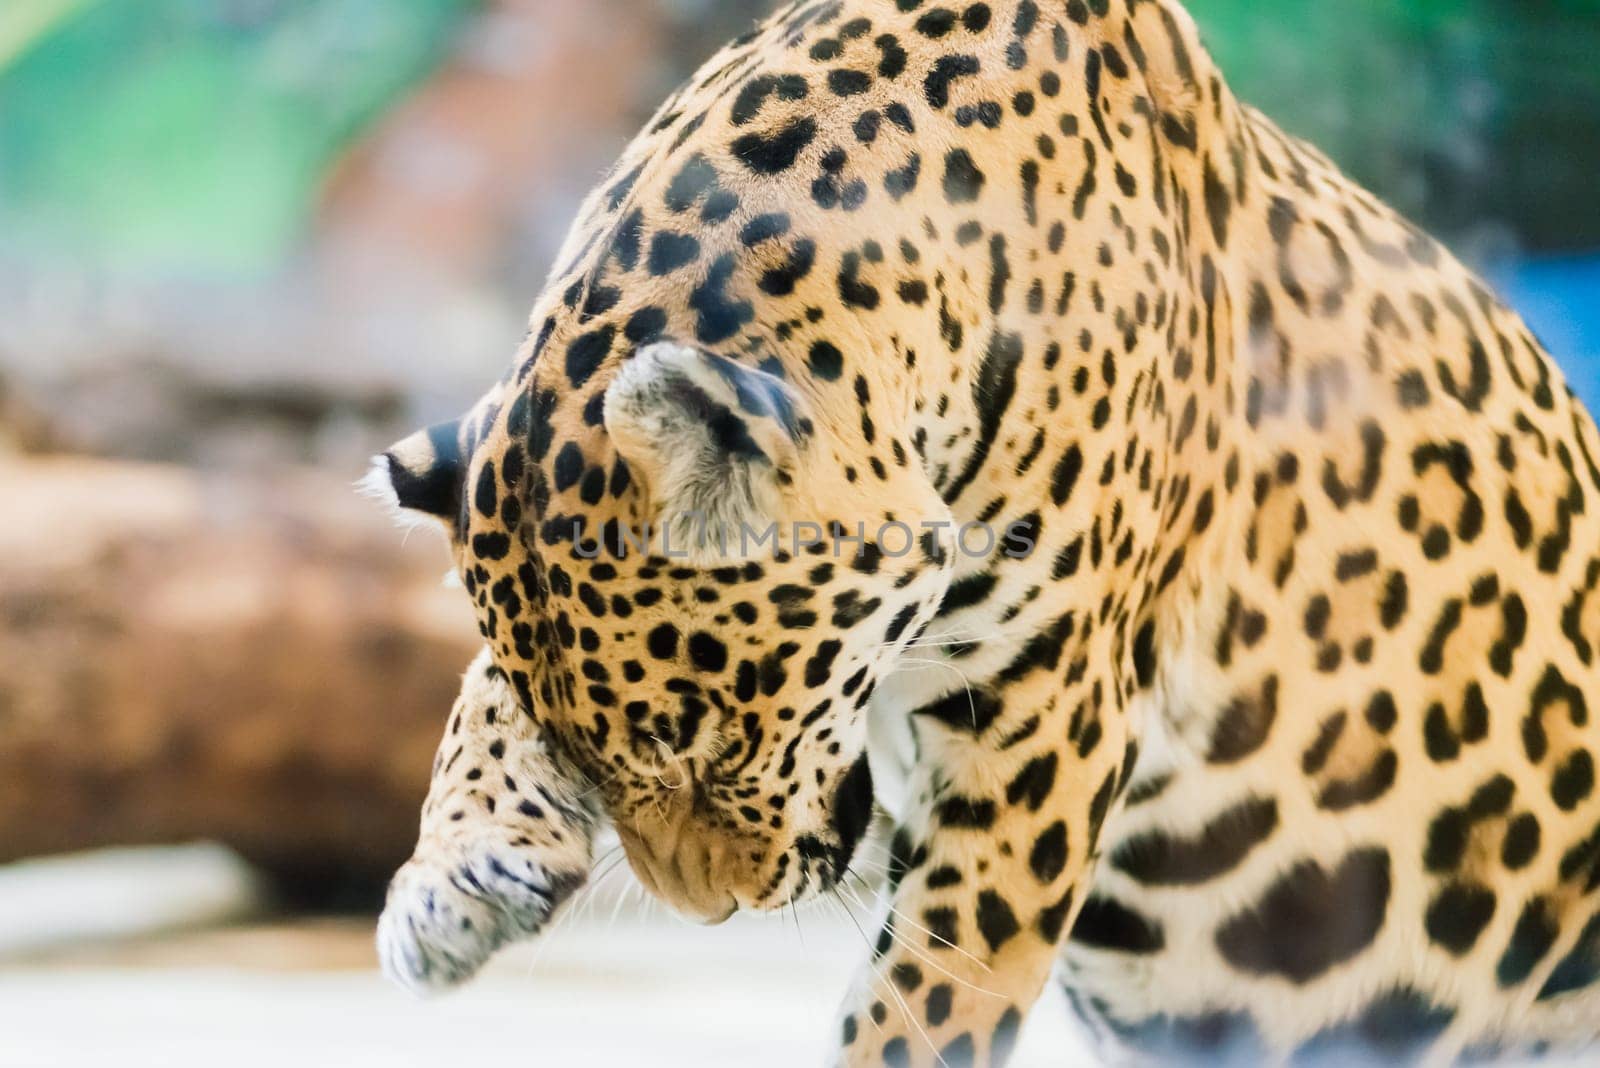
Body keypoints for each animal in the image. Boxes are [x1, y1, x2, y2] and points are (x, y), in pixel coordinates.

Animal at [368, 2, 1600, 1061]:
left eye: (709, 740)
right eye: (591, 753)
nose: (710, 910)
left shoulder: (1041, 723)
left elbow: (930, 997)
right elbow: (480, 699)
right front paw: (450, 881)